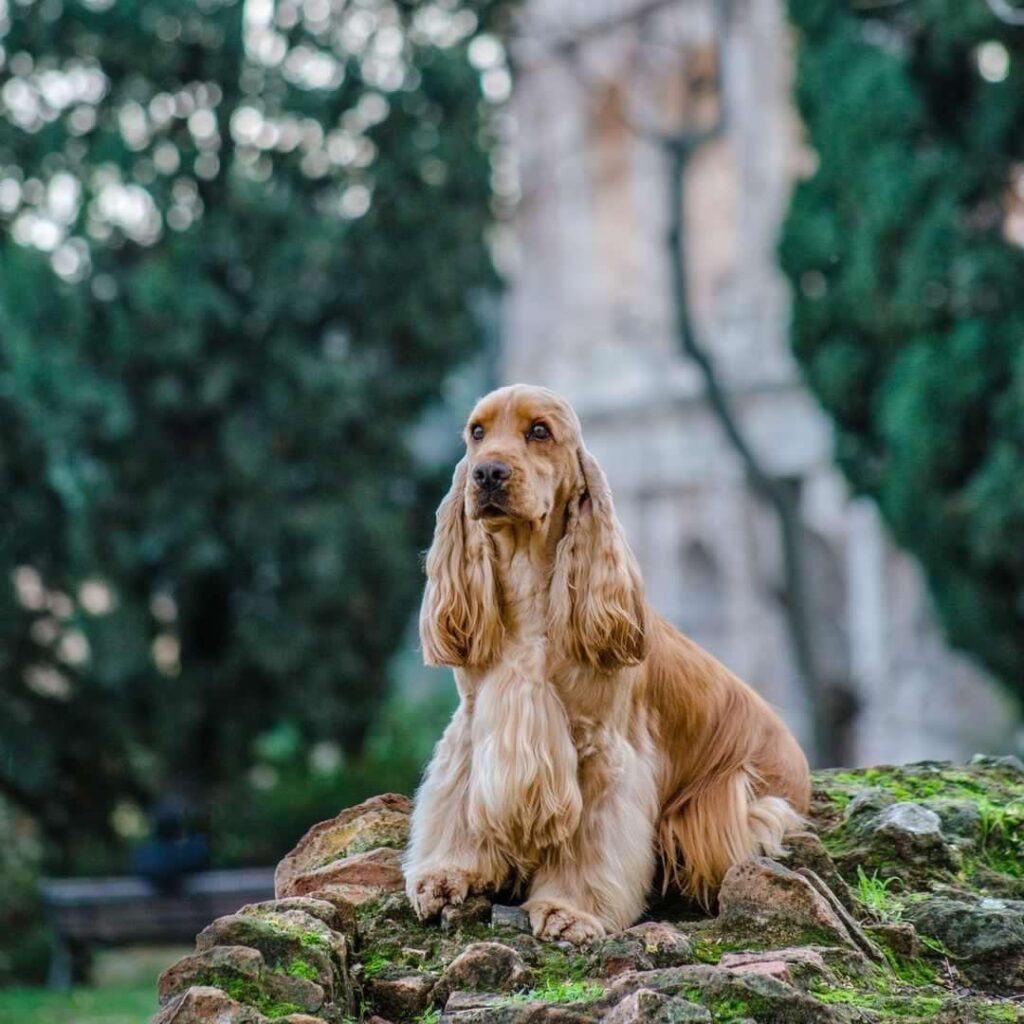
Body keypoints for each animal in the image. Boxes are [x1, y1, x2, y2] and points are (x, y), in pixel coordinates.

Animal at [399, 385, 806, 942]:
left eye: (539, 431)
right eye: (477, 432)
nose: (487, 474)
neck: (529, 588)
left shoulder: (604, 749)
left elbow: (593, 842)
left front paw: (569, 910)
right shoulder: (473, 723)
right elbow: (455, 804)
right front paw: (443, 877)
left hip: (731, 802)